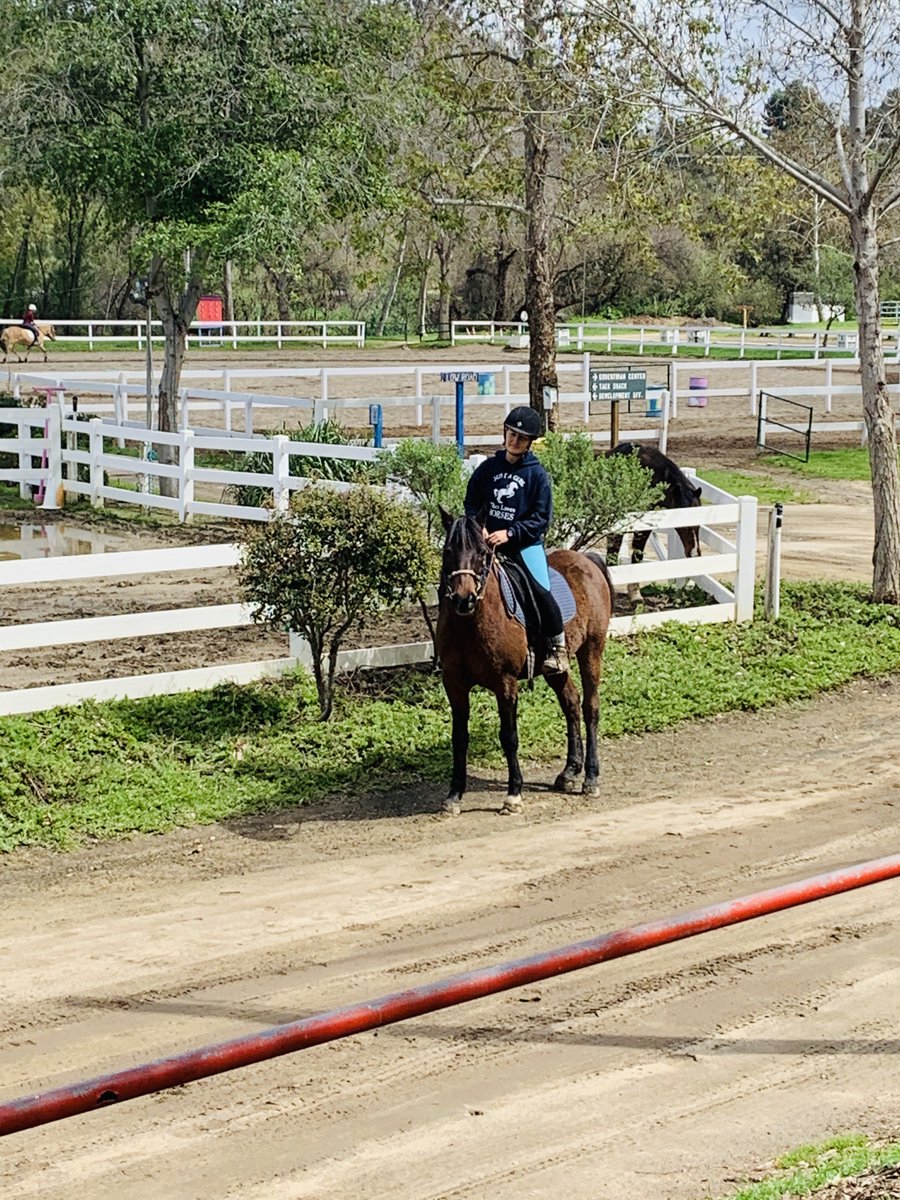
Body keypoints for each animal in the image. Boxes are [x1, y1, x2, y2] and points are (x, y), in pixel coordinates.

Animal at [436, 510, 614, 816]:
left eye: (483, 553)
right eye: (448, 551)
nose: (463, 599)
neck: (471, 623)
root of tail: (587, 560)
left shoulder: (505, 683)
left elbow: (509, 736)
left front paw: (513, 794)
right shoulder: (454, 683)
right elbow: (459, 738)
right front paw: (454, 795)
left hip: (592, 650)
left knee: (590, 707)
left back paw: (591, 777)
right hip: (556, 668)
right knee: (571, 702)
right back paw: (569, 771)